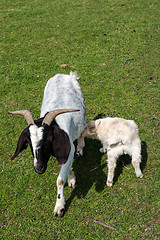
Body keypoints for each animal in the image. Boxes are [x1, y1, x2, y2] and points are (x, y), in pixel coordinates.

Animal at [8, 72, 86, 217]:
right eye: (28, 141)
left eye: (50, 139)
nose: (39, 168)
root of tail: (65, 75)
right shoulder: (65, 152)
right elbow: (68, 167)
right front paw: (71, 179)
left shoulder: (68, 149)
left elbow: (60, 180)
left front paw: (59, 207)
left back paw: (80, 150)